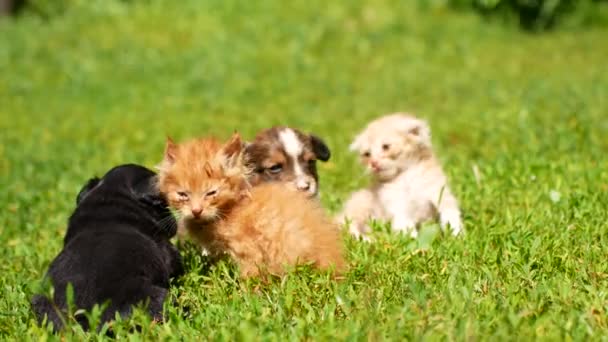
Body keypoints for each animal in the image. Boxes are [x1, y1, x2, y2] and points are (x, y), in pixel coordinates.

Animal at [157, 132, 346, 276]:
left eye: (211, 193)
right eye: (183, 195)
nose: (196, 210)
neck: (229, 210)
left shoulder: (248, 248)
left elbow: (250, 272)